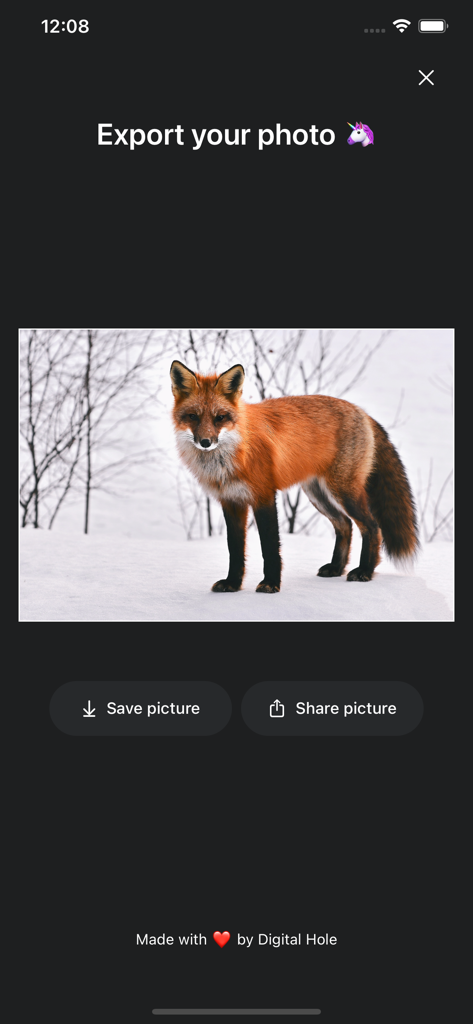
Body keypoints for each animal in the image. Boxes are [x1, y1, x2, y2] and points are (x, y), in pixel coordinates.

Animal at [170, 360, 419, 593]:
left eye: (220, 417)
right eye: (193, 416)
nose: (205, 442)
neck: (232, 456)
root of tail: (362, 412)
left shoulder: (264, 496)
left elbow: (270, 547)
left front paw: (271, 584)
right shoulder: (231, 501)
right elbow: (235, 549)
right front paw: (232, 584)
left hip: (343, 491)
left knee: (372, 526)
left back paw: (365, 571)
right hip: (318, 494)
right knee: (345, 525)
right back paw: (336, 568)